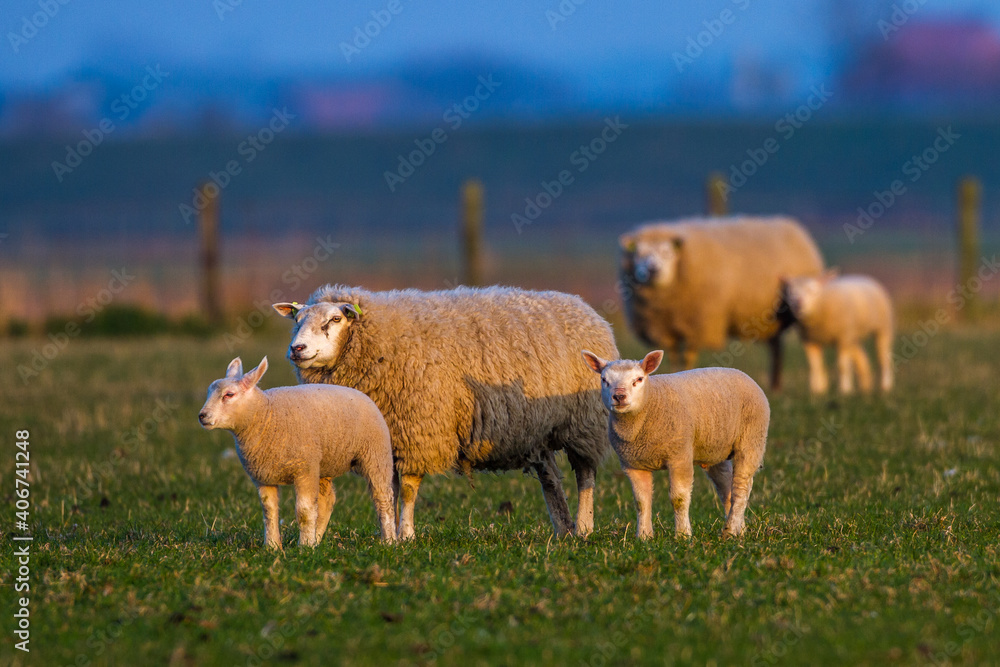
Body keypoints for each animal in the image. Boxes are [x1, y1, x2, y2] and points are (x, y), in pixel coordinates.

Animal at [198, 356, 396, 548]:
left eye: (229, 394)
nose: (202, 416)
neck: (266, 416)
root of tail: (359, 393)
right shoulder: (263, 477)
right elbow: (269, 512)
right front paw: (272, 546)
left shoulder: (304, 469)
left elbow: (304, 511)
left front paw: (304, 547)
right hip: (322, 464)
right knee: (327, 501)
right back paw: (317, 539)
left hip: (375, 455)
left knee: (383, 498)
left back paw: (389, 541)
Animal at [273, 284, 619, 540]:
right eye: (296, 320)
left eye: (333, 320)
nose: (296, 349)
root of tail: (582, 306)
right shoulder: (390, 436)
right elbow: (390, 489)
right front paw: (391, 534)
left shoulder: (418, 429)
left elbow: (408, 489)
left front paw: (406, 535)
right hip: (537, 430)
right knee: (550, 479)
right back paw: (563, 529)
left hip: (583, 424)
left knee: (585, 474)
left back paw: (583, 527)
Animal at [581, 349, 769, 539]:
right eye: (604, 380)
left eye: (639, 379)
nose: (619, 396)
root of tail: (741, 373)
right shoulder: (633, 465)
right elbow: (641, 502)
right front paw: (644, 536)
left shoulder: (680, 457)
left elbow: (678, 499)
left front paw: (683, 535)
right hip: (715, 450)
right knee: (726, 489)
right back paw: (740, 530)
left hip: (751, 441)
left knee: (741, 489)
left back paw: (729, 531)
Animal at [618, 216, 824, 390]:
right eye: (638, 254)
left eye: (666, 252)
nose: (652, 270)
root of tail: (791, 225)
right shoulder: (664, 328)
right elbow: (673, 356)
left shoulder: (699, 322)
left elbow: (688, 357)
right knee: (776, 348)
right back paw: (775, 386)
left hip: (801, 308)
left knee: (809, 346)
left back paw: (815, 387)